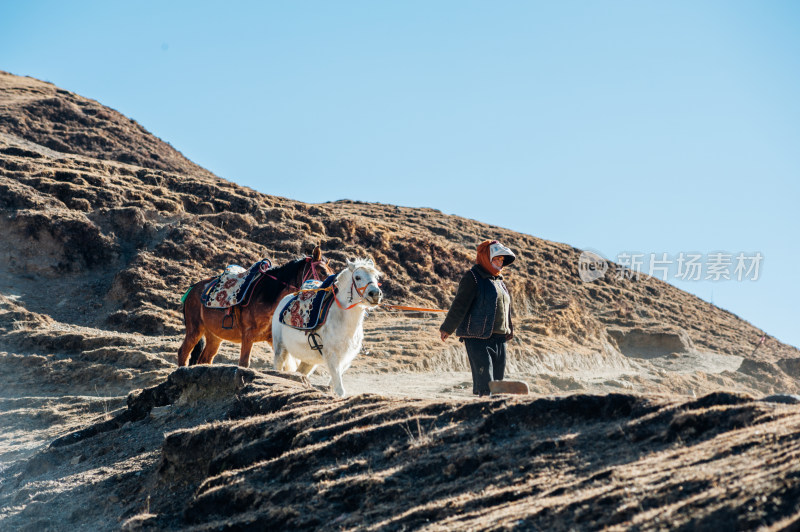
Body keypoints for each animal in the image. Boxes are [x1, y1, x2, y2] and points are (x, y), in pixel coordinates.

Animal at [178, 247, 332, 368]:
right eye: (323, 271)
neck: (267, 297)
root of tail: (193, 289)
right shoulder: (248, 336)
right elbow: (244, 363)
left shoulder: (272, 340)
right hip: (195, 329)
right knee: (183, 353)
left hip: (214, 336)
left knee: (205, 359)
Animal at [272, 258, 384, 394]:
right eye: (357, 277)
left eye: (376, 277)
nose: (375, 294)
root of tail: (283, 301)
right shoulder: (332, 358)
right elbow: (340, 390)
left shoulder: (345, 360)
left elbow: (333, 386)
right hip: (280, 349)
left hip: (309, 361)